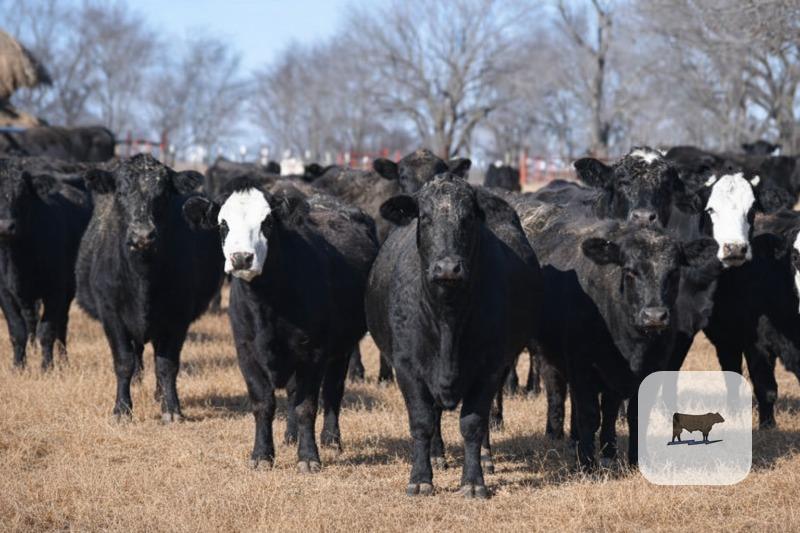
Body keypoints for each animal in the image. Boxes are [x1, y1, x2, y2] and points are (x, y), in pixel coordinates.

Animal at [0, 158, 92, 369]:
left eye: (22, 194)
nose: (6, 226)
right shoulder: (4, 293)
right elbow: (17, 331)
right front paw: (18, 367)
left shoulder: (55, 290)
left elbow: (48, 330)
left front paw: (47, 368)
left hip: (68, 290)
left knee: (61, 325)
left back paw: (63, 360)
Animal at [75, 154, 223, 420]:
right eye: (121, 191)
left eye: (163, 195)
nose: (142, 236)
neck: (142, 278)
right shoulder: (111, 314)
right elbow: (124, 361)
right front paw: (122, 409)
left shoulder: (178, 317)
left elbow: (167, 364)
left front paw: (171, 408)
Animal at [183, 177, 378, 471]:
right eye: (223, 224)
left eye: (267, 222)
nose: (241, 258)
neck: (266, 304)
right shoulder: (246, 352)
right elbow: (263, 404)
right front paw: (262, 455)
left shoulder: (314, 352)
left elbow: (306, 406)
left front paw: (308, 457)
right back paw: (291, 435)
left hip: (341, 348)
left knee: (333, 391)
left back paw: (331, 439)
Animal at [365, 174, 541, 498]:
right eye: (425, 217)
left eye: (468, 218)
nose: (448, 267)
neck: (448, 317)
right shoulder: (407, 368)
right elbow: (422, 422)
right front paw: (420, 479)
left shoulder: (490, 367)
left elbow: (473, 423)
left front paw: (473, 481)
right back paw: (437, 455)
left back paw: (485, 457)